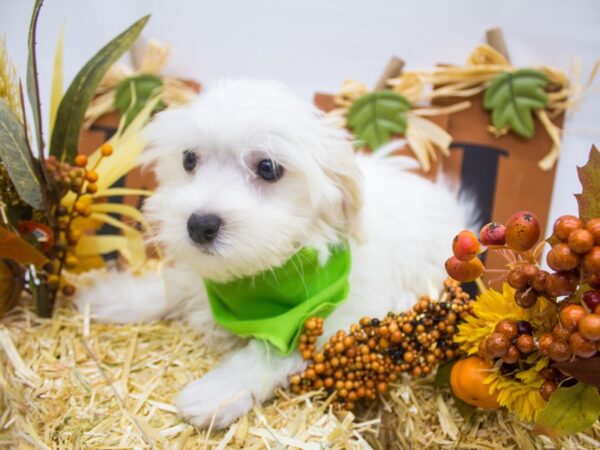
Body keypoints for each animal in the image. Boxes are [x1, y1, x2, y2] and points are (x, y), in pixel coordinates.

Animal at [78, 80, 464, 428]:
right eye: (189, 159)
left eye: (268, 168)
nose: (199, 225)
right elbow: (175, 285)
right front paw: (116, 296)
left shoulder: (345, 318)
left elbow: (275, 349)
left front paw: (217, 392)